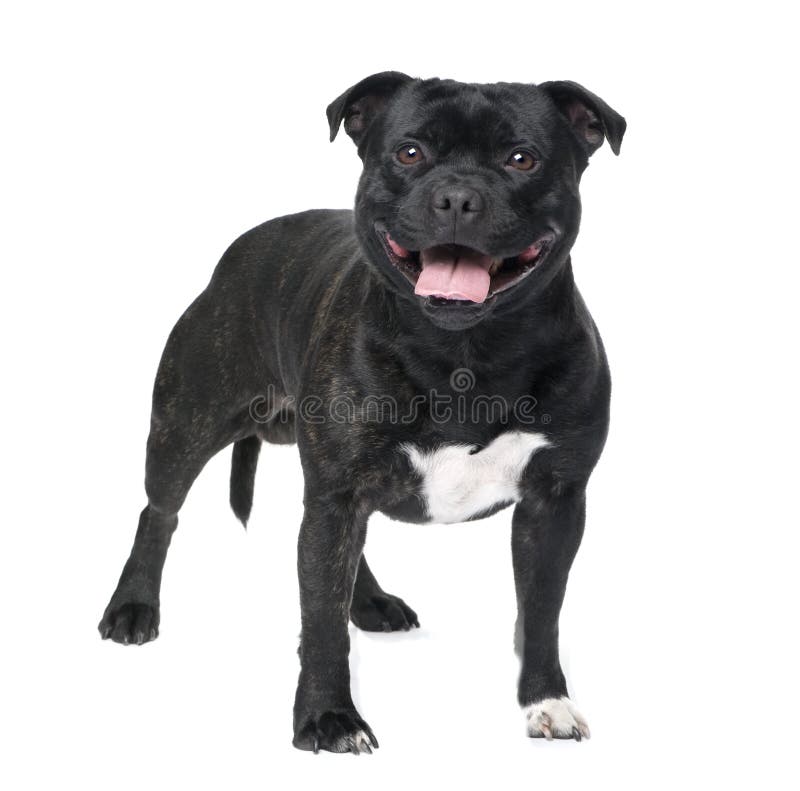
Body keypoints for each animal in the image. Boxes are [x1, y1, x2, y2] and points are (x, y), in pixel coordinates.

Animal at [98, 72, 624, 756]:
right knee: (159, 512)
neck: (466, 349)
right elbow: (321, 619)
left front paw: (546, 701)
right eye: (409, 152)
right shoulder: (335, 493)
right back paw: (133, 606)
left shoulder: (554, 503)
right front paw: (328, 718)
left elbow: (541, 614)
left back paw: (368, 600)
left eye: (521, 159)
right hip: (185, 426)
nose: (458, 197)